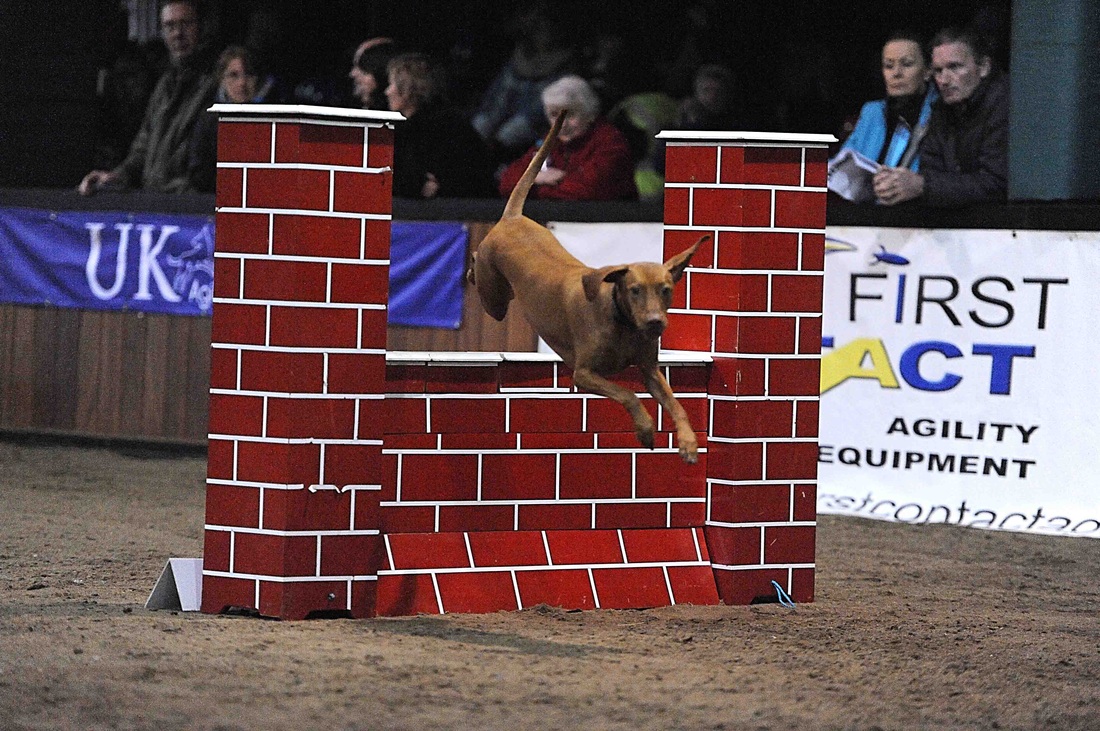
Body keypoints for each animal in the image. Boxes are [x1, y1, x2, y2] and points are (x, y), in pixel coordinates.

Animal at [468, 111, 708, 461]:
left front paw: (688, 442)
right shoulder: (584, 374)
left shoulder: (650, 369)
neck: (622, 321)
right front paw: (646, 430)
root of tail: (512, 218)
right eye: (634, 290)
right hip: (494, 297)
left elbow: (677, 405)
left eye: (666, 289)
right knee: (477, 268)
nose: (655, 323)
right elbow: (627, 394)